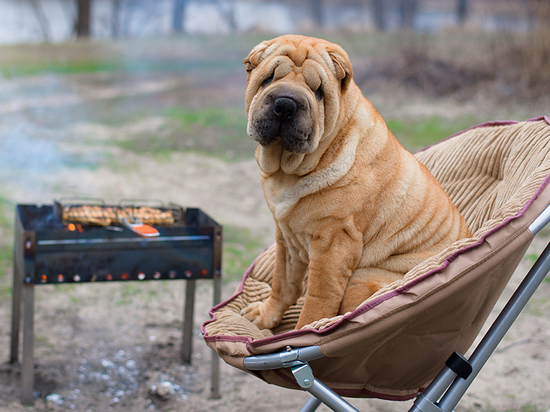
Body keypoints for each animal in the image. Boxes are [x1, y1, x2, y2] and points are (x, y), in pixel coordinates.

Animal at [240, 36, 470, 332]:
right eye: (268, 79)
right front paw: (264, 316)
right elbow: (283, 283)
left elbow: (317, 301)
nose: (286, 104)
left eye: (318, 90)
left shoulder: (333, 243)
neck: (288, 170)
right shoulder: (287, 237)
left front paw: (305, 332)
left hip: (361, 281)